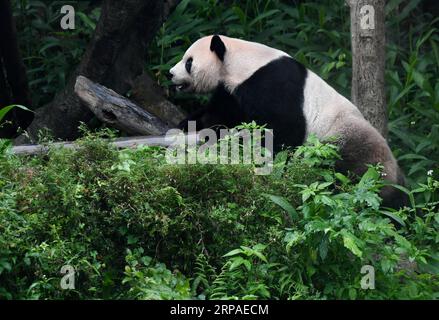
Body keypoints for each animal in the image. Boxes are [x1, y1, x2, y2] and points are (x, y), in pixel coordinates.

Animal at [169, 34, 410, 208]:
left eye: (188, 62)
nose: (170, 74)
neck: (241, 63)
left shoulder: (272, 85)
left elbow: (284, 132)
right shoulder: (232, 91)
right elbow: (220, 116)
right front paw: (187, 125)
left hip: (349, 145)